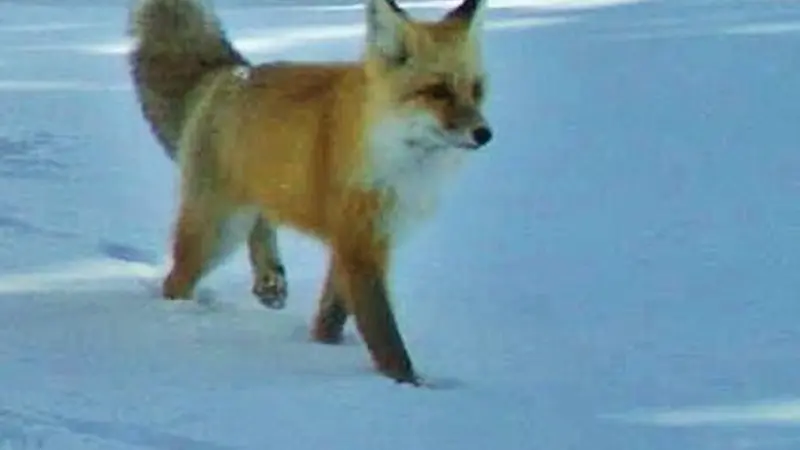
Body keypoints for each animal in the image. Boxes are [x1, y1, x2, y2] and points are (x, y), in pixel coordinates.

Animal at [128, 0, 493, 385]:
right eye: (438, 91)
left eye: (476, 90)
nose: (485, 134)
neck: (399, 161)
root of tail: (230, 73)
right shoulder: (360, 246)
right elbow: (384, 335)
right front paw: (409, 385)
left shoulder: (362, 239)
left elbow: (332, 315)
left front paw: (322, 346)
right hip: (218, 232)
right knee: (175, 282)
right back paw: (179, 317)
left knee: (262, 223)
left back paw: (269, 279)